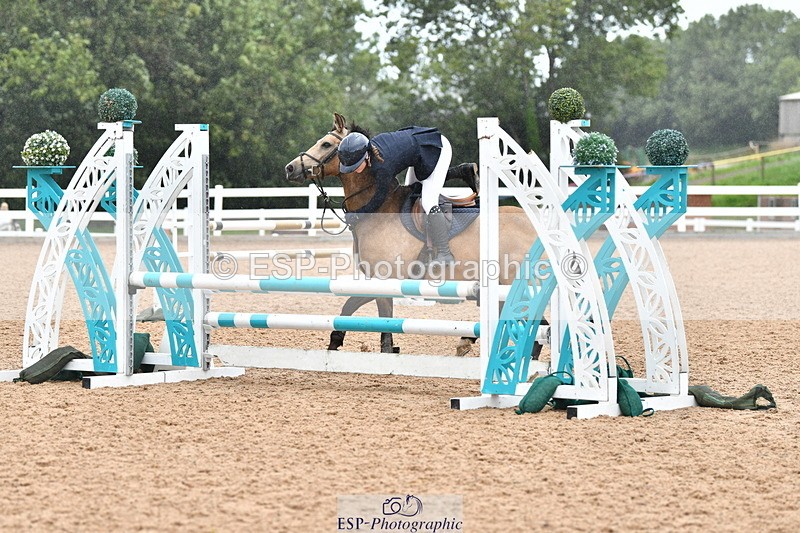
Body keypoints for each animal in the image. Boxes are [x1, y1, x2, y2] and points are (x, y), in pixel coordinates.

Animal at [284, 113, 535, 357]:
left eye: (326, 144)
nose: (290, 168)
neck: (380, 210)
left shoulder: (385, 279)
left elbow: (384, 323)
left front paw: (385, 351)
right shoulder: (377, 281)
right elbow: (348, 307)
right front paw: (334, 343)